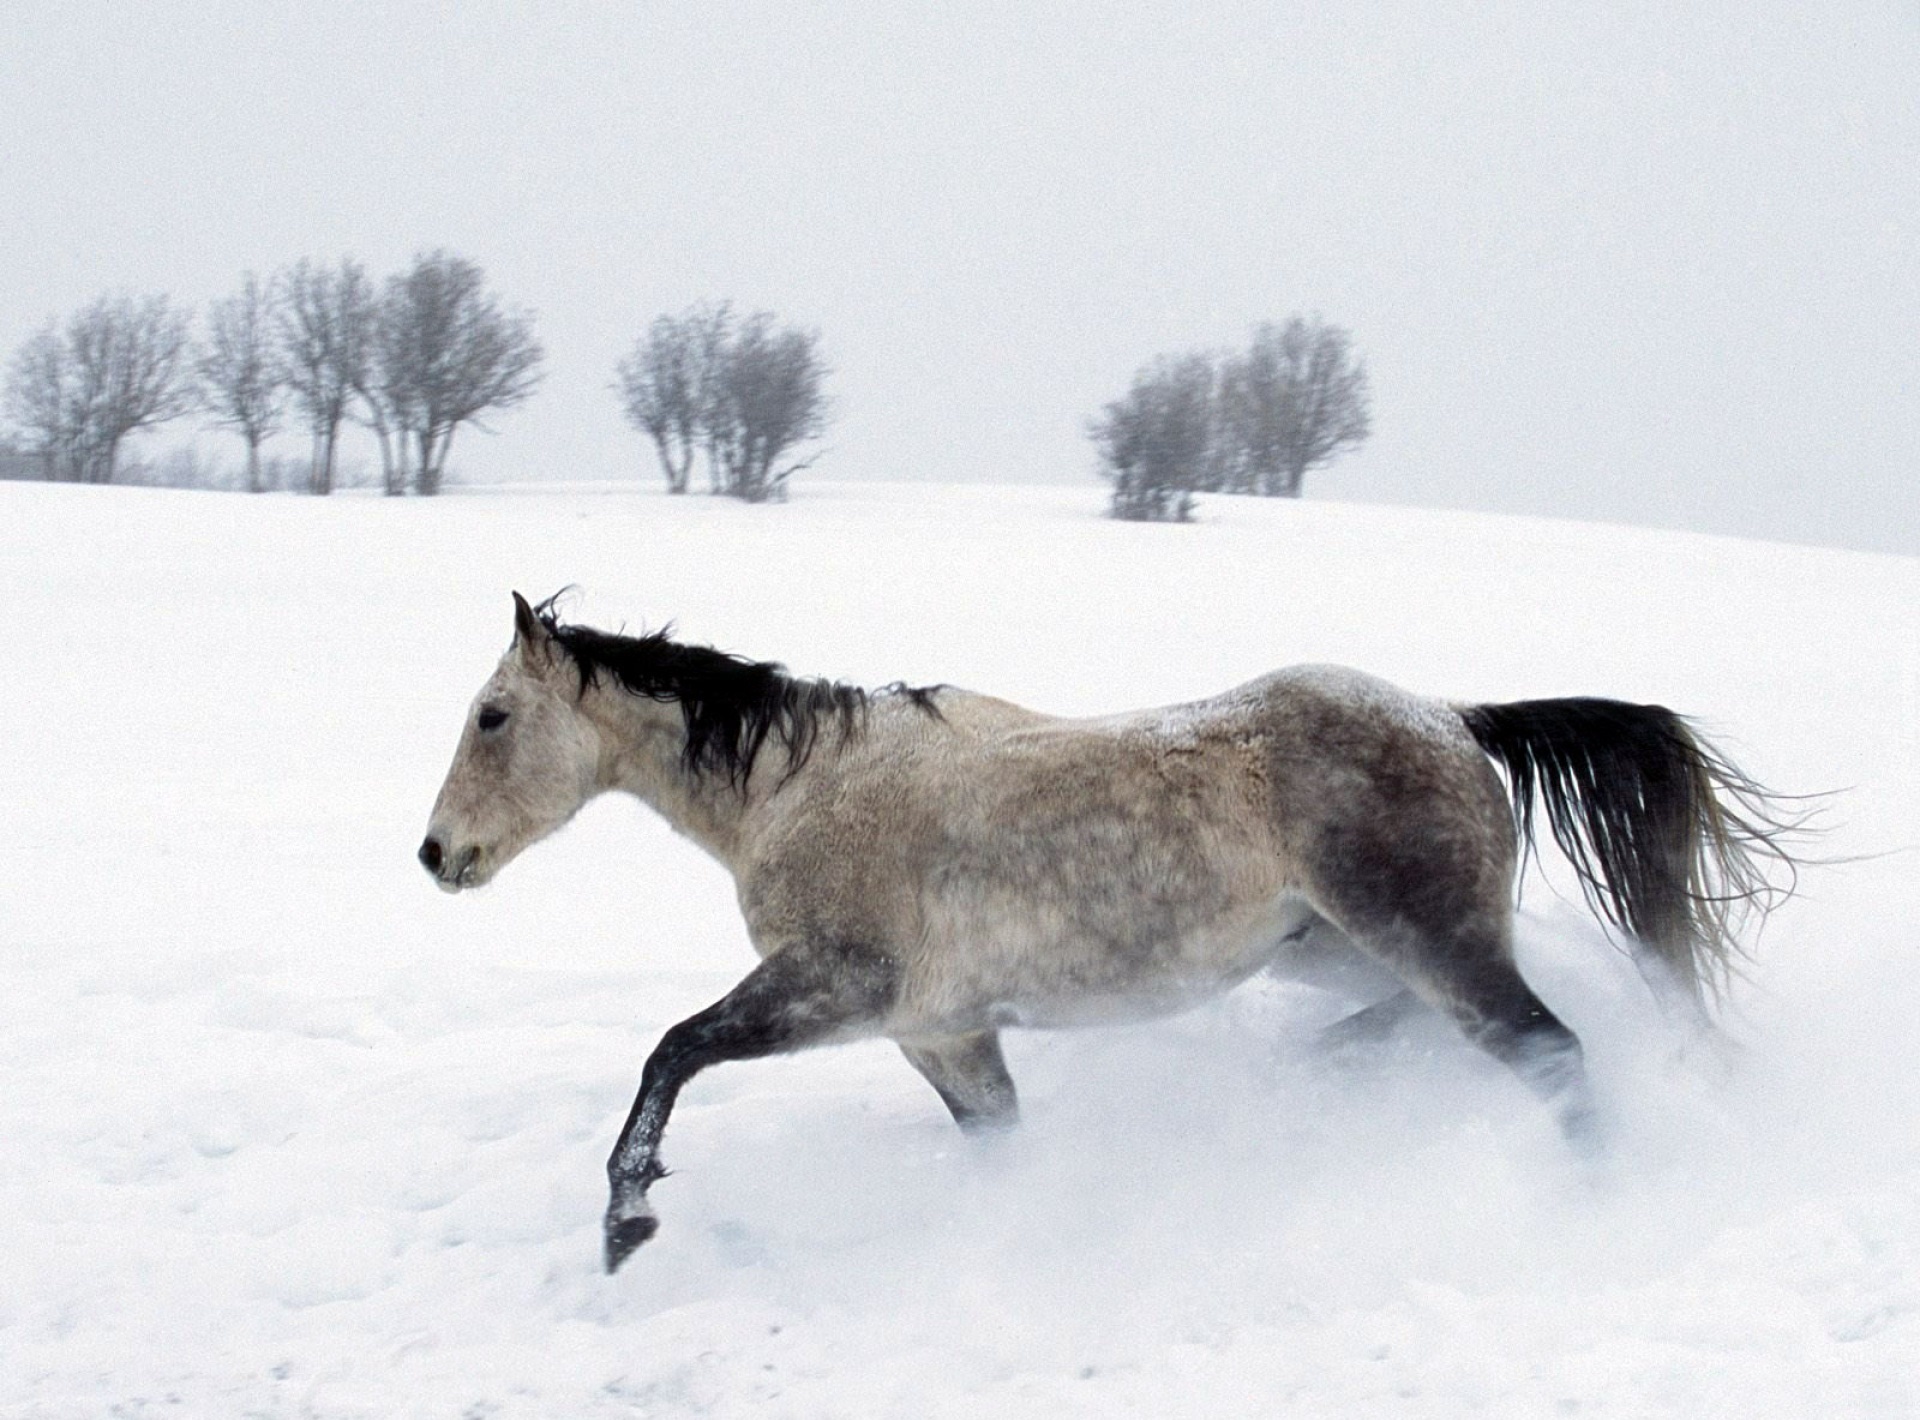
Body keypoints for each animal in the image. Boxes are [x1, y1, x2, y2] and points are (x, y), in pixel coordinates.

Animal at [416, 594, 1797, 1266]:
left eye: (491, 715)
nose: (436, 855)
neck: (804, 787)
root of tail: (1457, 719)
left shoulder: (839, 986)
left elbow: (671, 1050)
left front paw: (624, 1223)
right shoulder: (944, 1032)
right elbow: (1001, 1147)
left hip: (1430, 938)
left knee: (1552, 1053)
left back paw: (1597, 1204)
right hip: (1340, 949)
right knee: (1420, 1024)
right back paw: (1315, 1079)